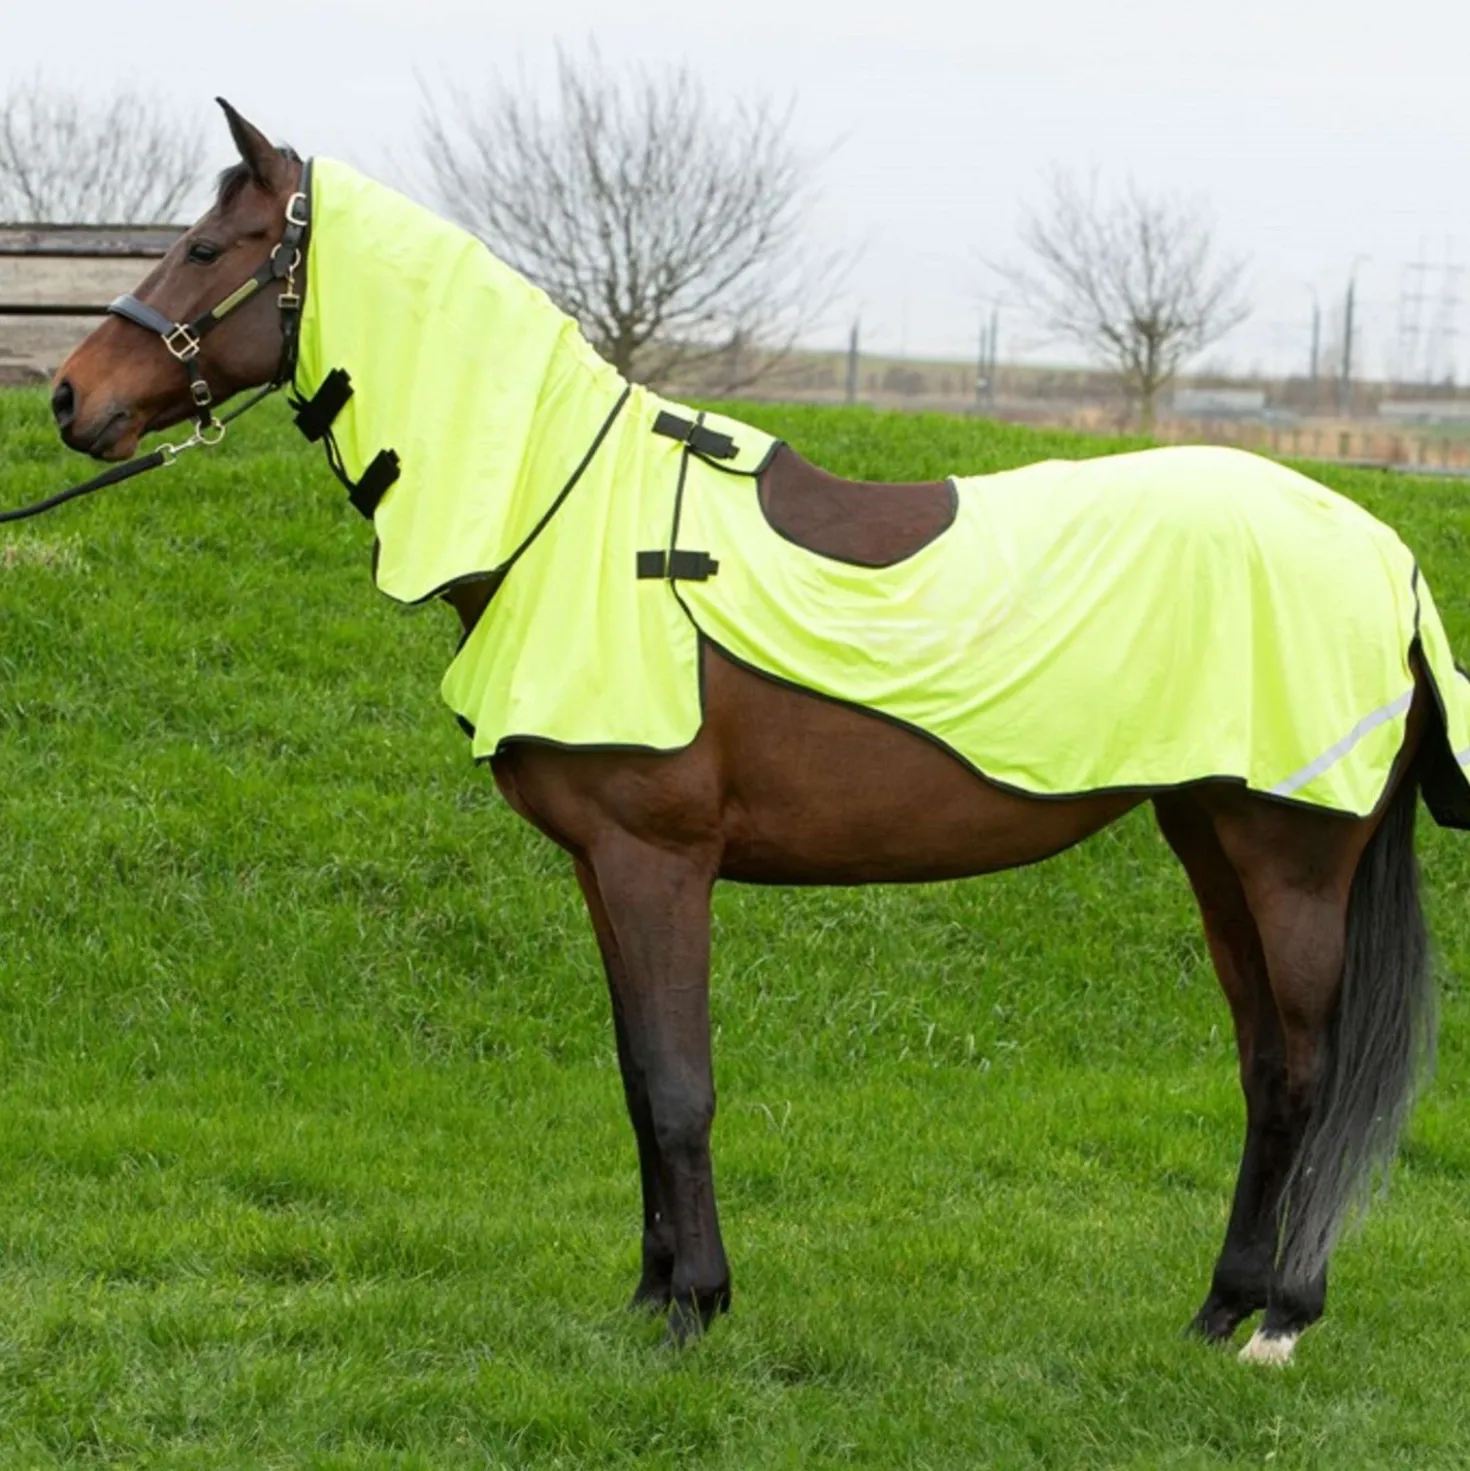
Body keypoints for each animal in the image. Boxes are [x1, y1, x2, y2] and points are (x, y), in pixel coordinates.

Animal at [48, 99, 1457, 1364]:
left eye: (208, 249)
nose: (68, 397)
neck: (563, 512)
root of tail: (1384, 555)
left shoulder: (656, 859)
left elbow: (681, 1086)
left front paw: (694, 1311)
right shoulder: (601, 871)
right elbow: (636, 1081)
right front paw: (649, 1297)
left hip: (1286, 858)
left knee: (1304, 1072)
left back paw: (1277, 1319)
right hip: (1209, 840)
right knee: (1265, 1069)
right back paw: (1222, 1306)